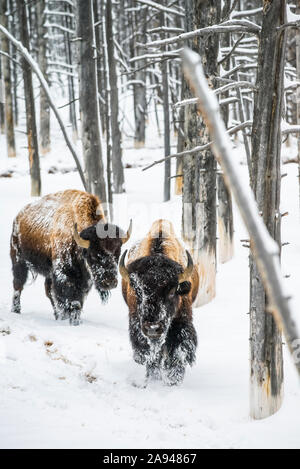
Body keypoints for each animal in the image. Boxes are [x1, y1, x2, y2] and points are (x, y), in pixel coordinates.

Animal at [10, 188, 130, 324]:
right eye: (94, 255)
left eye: (117, 254)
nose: (110, 282)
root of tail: (19, 216)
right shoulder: (64, 274)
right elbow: (70, 300)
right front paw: (72, 320)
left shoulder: (83, 280)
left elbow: (77, 300)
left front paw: (73, 319)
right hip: (19, 260)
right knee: (18, 285)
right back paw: (16, 310)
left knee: (48, 291)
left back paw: (57, 316)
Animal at [119, 218, 199, 384]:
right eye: (138, 291)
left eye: (172, 291)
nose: (153, 328)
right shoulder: (137, 325)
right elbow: (151, 356)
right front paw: (154, 378)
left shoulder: (181, 323)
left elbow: (178, 351)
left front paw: (173, 380)